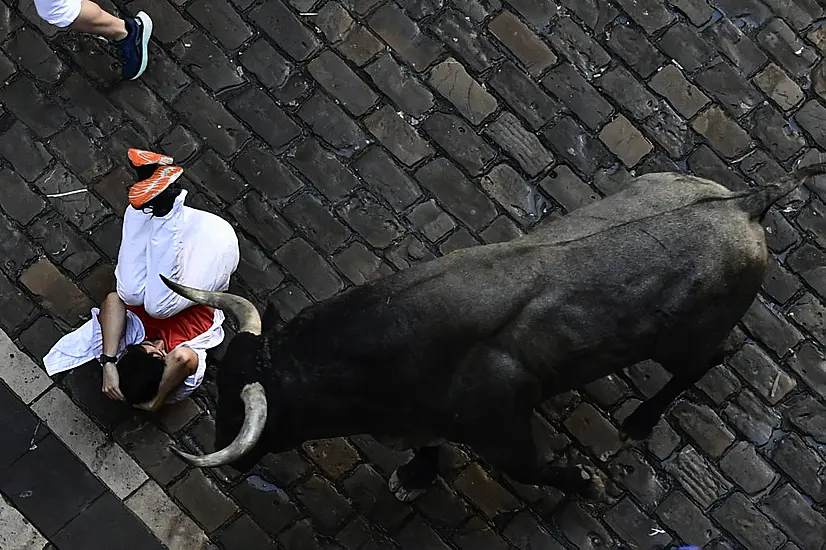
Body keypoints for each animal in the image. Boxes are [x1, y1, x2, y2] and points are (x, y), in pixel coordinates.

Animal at [161, 165, 824, 504]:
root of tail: (746, 202)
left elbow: (534, 470)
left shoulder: (505, 427)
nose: (230, 457)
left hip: (687, 339)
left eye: (247, 410)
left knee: (706, 360)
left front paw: (583, 482)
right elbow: (424, 450)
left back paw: (640, 422)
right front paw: (415, 478)